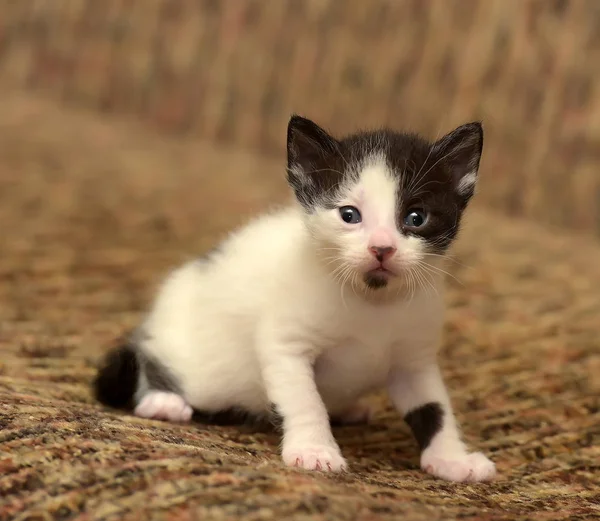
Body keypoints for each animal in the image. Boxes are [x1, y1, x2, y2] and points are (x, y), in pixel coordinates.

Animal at [95, 116, 496, 482]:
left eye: (416, 217)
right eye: (349, 215)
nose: (382, 248)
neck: (372, 300)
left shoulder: (414, 358)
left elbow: (435, 408)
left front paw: (451, 459)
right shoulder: (286, 344)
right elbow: (305, 400)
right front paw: (315, 450)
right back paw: (161, 400)